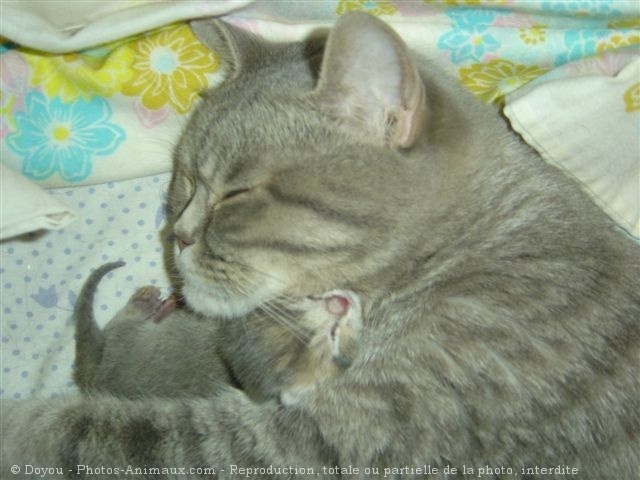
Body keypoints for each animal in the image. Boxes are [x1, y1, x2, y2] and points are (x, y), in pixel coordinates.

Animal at [73, 260, 362, 404]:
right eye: (332, 335)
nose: (341, 303)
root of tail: (96, 379)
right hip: (126, 339)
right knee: (122, 323)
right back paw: (146, 303)